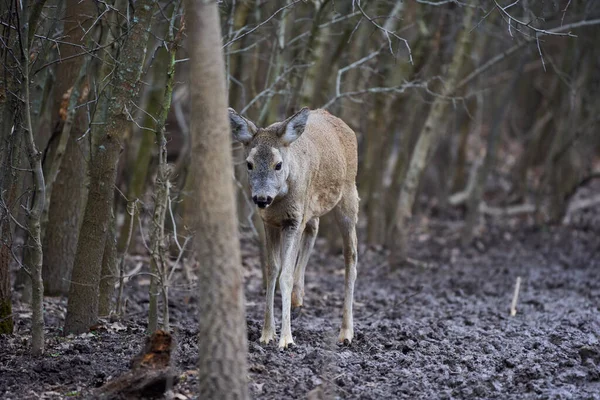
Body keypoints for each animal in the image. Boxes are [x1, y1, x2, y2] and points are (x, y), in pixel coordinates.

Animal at [229, 107, 360, 350]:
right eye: (249, 163)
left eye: (278, 164)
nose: (261, 198)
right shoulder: (270, 221)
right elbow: (272, 271)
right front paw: (267, 334)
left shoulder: (293, 220)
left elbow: (285, 275)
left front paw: (286, 340)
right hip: (311, 208)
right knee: (314, 228)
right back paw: (298, 299)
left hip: (348, 195)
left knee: (351, 256)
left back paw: (346, 333)